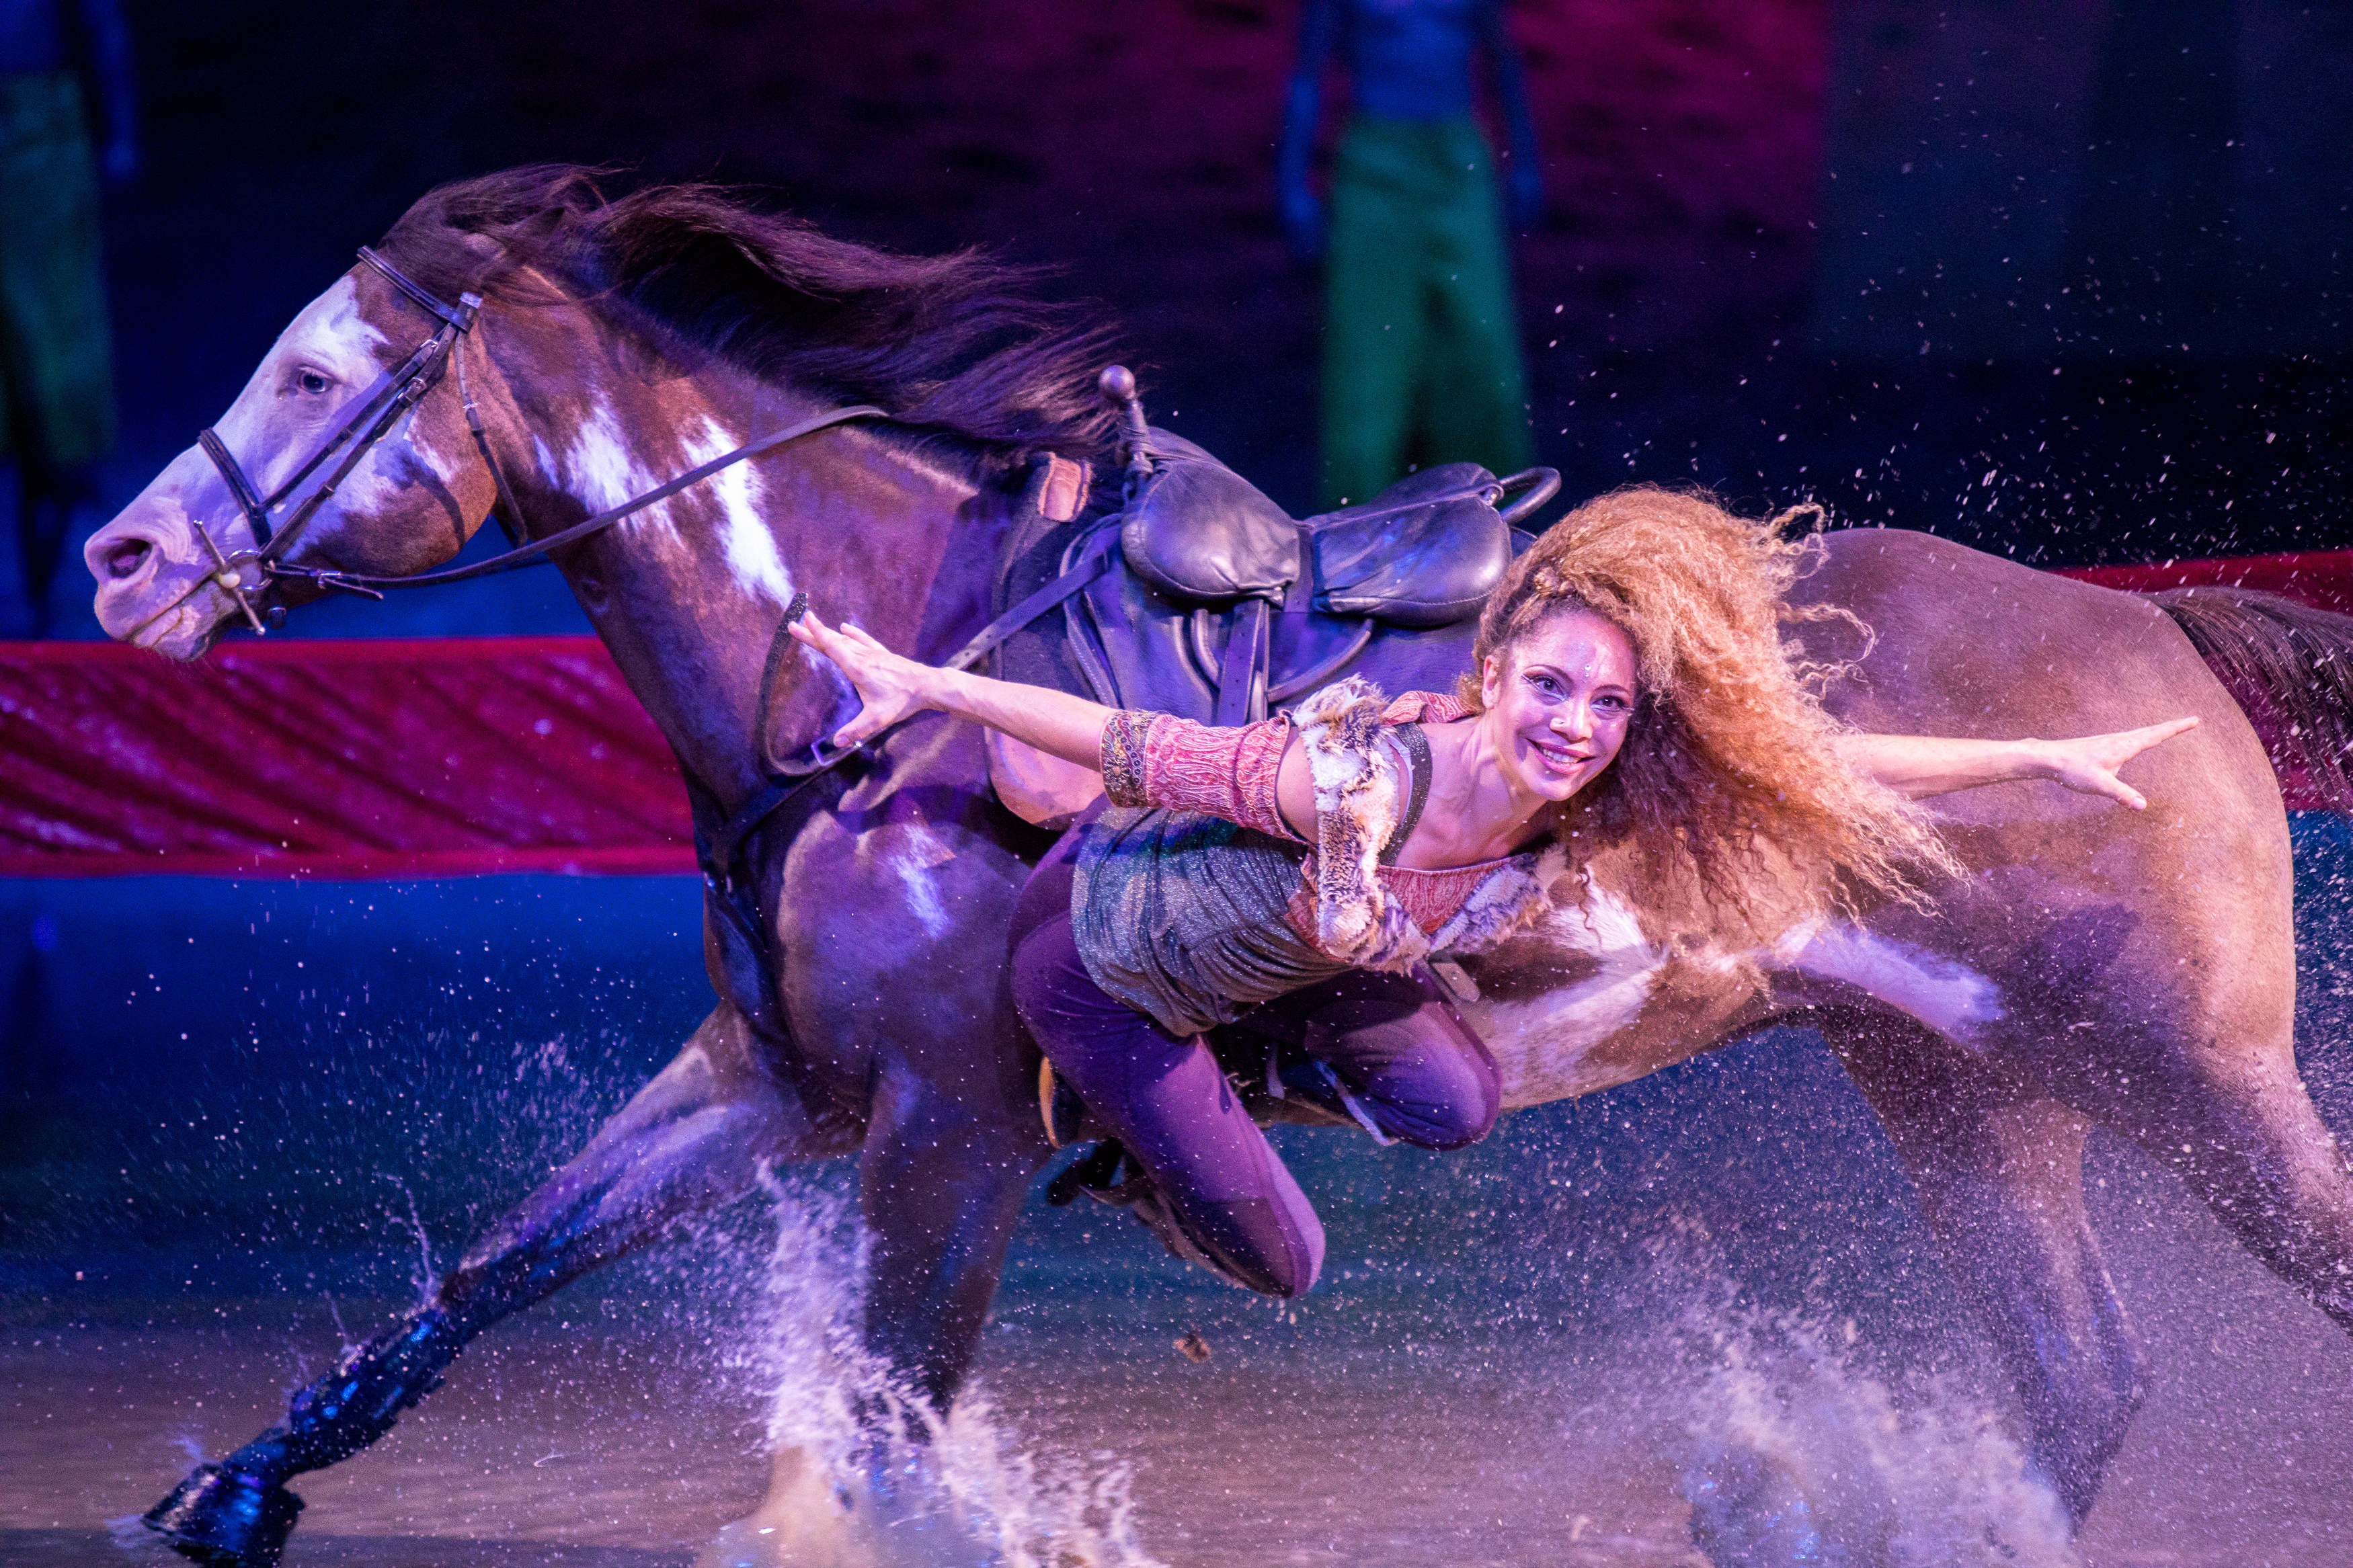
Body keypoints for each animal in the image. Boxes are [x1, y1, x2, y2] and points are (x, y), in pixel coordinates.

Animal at [83, 165, 2353, 1561]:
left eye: (312, 372)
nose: (117, 558)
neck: (885, 662)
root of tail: (2160, 645)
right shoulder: (774, 1081)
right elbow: (482, 1273)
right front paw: (234, 1488)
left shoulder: (946, 1126)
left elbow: (892, 1414)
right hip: (1966, 1082)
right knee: (2076, 1373)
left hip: (2193, 1077)